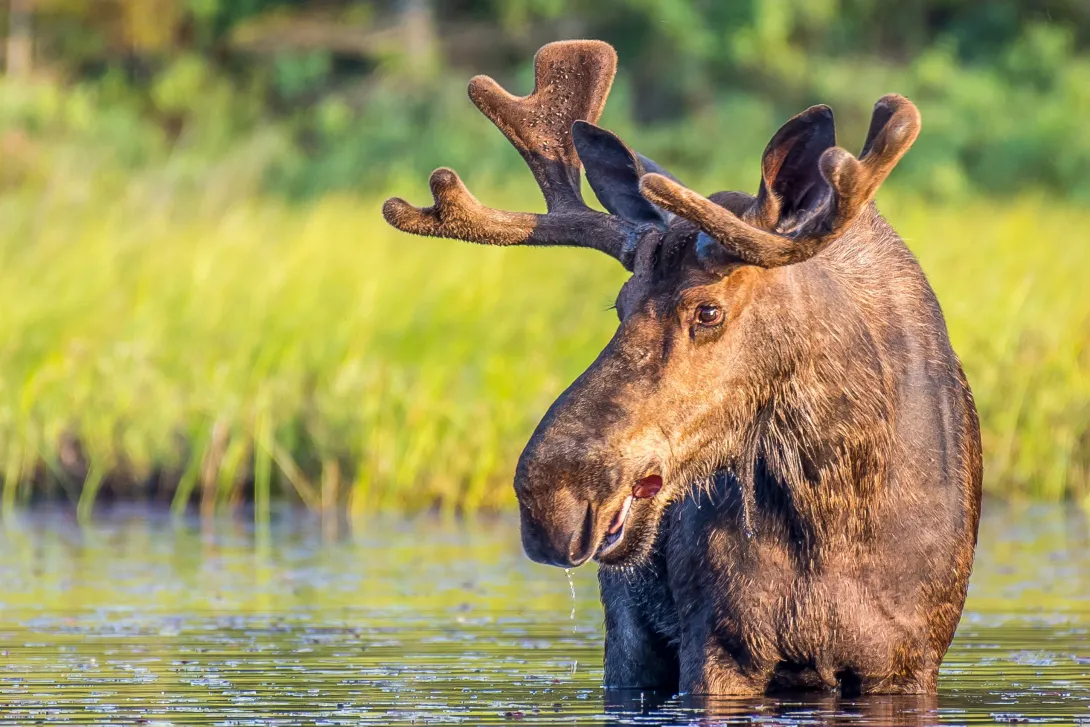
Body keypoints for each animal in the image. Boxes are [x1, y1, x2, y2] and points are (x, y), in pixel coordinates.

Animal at [383, 40, 982, 697]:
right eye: (620, 304)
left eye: (708, 310)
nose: (552, 496)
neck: (838, 507)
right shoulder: (718, 643)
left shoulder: (908, 660)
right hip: (629, 636)